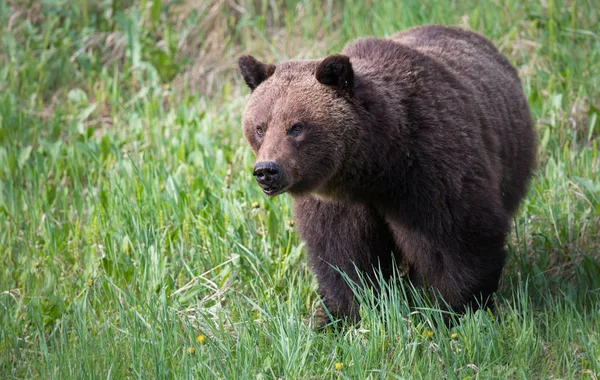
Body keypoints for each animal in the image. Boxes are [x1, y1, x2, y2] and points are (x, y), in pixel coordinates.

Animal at [237, 25, 536, 326]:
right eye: (260, 127)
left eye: (296, 127)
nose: (267, 170)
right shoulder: (335, 202)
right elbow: (344, 257)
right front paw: (342, 315)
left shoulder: (432, 171)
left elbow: (457, 242)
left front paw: (452, 310)